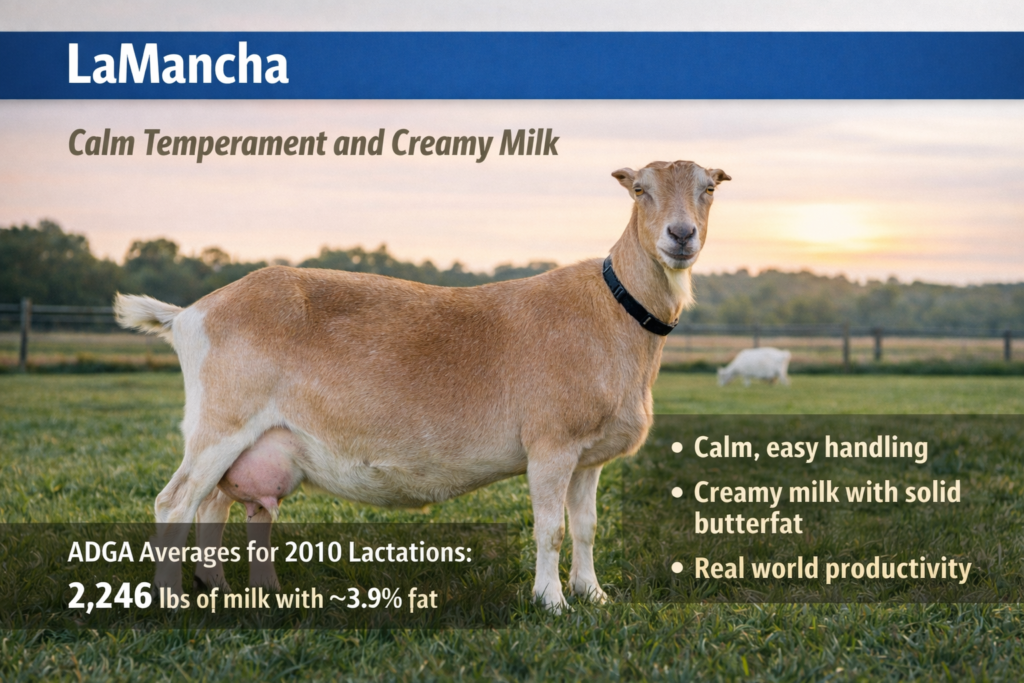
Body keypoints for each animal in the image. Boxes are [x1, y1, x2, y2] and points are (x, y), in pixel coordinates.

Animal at [115, 159, 730, 612]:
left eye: (708, 189)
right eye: (640, 191)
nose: (680, 236)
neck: (613, 309)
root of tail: (191, 314)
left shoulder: (588, 456)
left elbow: (586, 528)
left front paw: (593, 595)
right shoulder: (551, 444)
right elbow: (551, 530)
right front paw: (552, 602)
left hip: (250, 440)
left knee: (218, 503)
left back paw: (230, 589)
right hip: (222, 420)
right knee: (175, 502)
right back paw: (172, 601)